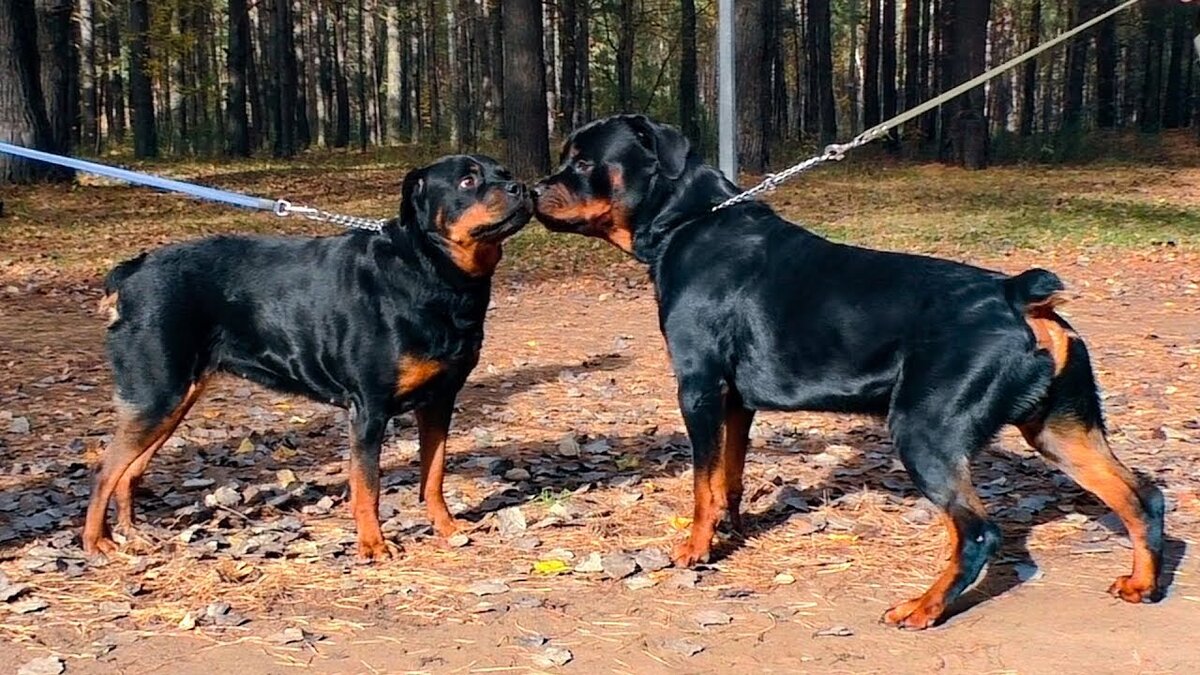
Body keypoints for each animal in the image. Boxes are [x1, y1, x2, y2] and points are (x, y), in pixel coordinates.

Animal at [82, 154, 532, 559]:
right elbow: (367, 486)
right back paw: (97, 542)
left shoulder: (440, 401)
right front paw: (373, 545)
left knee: (129, 472)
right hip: (156, 395)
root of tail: (129, 273)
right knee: (105, 471)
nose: (522, 187)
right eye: (468, 182)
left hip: (173, 400)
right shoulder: (369, 409)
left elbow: (434, 473)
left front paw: (447, 528)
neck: (433, 271)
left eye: (504, 172)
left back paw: (133, 534)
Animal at [535, 115, 1161, 624]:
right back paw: (1144, 583)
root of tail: (1017, 296)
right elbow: (729, 476)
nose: (536, 186)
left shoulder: (699, 387)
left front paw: (696, 548)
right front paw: (733, 531)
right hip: (1061, 430)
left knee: (977, 532)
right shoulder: (736, 400)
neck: (687, 221)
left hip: (926, 428)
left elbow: (701, 484)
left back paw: (923, 608)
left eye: (585, 162)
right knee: (1140, 496)